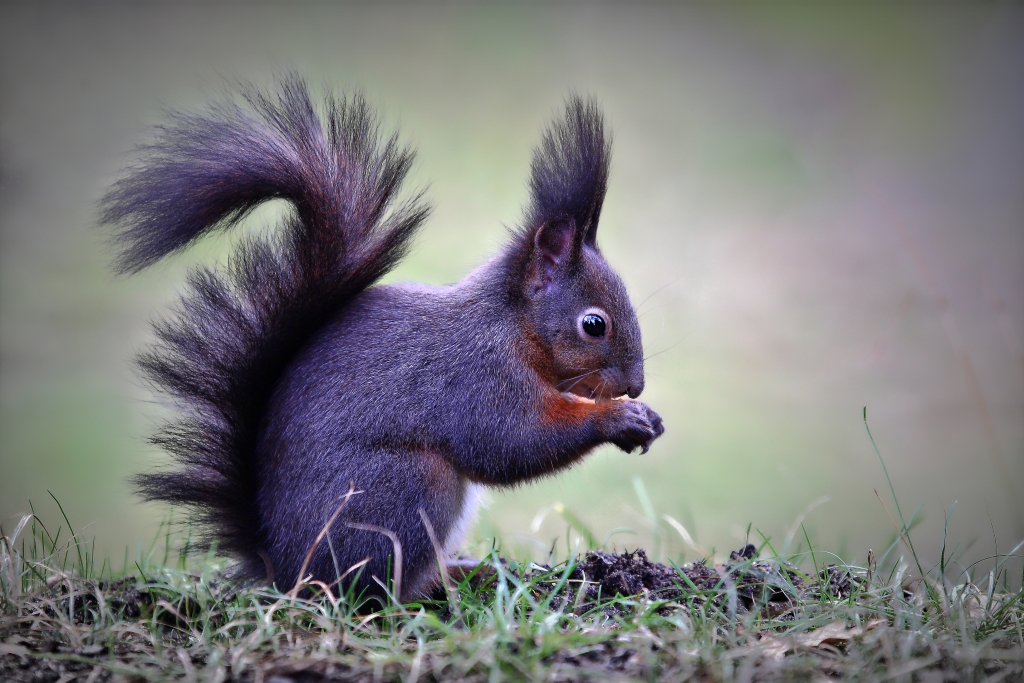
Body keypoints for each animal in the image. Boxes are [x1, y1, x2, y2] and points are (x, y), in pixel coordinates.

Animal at [101, 77, 663, 606]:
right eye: (594, 324)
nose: (635, 385)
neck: (510, 324)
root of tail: (284, 569)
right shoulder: (477, 374)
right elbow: (512, 441)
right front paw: (618, 419)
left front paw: (645, 417)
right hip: (404, 491)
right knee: (370, 591)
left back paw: (468, 572)